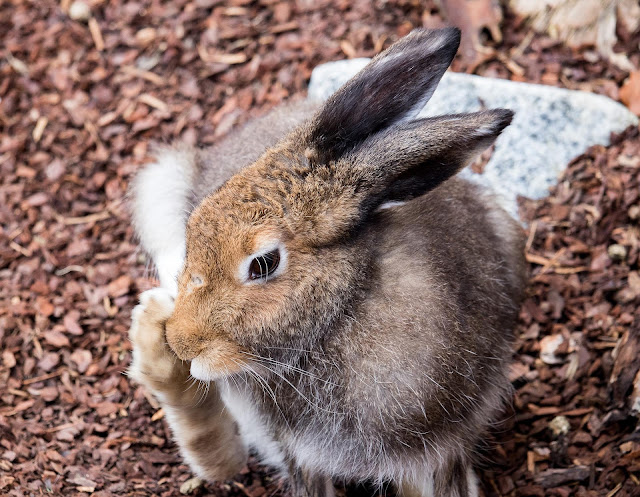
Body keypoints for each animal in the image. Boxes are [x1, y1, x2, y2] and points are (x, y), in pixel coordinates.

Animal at [127, 27, 528, 496]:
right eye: (195, 227)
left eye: (262, 264)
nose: (184, 341)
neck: (345, 309)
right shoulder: (299, 450)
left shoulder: (439, 451)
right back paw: (152, 336)